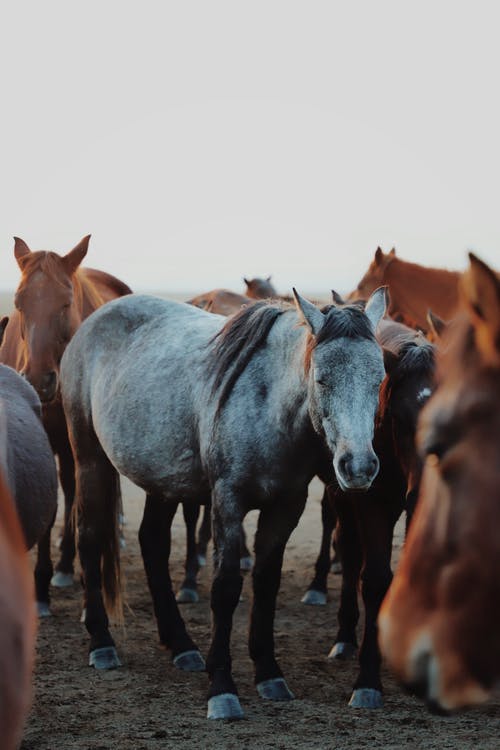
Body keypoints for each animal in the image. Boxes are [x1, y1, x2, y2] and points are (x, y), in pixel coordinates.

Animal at [0, 238, 133, 592]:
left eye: (66, 303)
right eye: (18, 302)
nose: (38, 380)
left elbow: (77, 499)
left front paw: (60, 567)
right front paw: (44, 577)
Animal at [59, 288, 386, 724]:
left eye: (379, 380)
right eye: (322, 378)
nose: (359, 466)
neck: (268, 406)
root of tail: (92, 323)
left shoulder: (286, 507)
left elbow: (266, 583)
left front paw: (269, 673)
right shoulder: (227, 502)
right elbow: (225, 587)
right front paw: (222, 689)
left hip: (162, 482)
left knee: (152, 544)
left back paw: (181, 645)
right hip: (89, 460)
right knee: (90, 537)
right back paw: (101, 643)